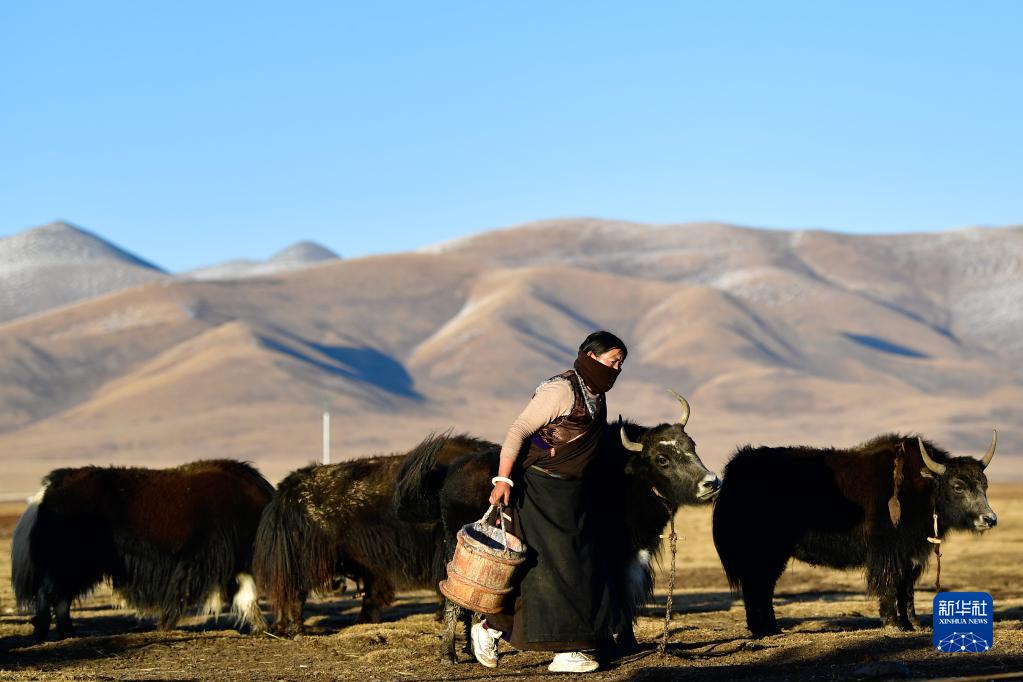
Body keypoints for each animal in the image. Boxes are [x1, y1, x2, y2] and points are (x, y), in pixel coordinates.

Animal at [11, 459, 274, 642]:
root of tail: (50, 488)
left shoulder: (234, 562)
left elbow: (247, 594)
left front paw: (260, 627)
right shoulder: (206, 558)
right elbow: (186, 592)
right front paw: (165, 624)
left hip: (77, 566)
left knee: (62, 594)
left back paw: (67, 631)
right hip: (66, 562)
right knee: (49, 591)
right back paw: (44, 630)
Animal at [393, 392, 721, 664]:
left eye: (692, 445)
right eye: (662, 459)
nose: (711, 483)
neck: (626, 478)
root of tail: (451, 472)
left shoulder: (632, 553)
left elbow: (626, 595)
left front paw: (629, 643)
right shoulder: (609, 555)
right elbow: (616, 597)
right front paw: (614, 645)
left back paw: (473, 651)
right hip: (457, 541)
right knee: (454, 594)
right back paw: (449, 654)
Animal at [712, 431, 998, 638]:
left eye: (984, 485)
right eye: (958, 486)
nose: (990, 519)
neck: (921, 490)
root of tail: (735, 470)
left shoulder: (910, 555)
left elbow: (907, 589)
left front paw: (913, 624)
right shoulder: (889, 551)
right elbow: (890, 585)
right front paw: (893, 624)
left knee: (763, 586)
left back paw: (771, 628)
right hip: (763, 551)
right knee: (757, 586)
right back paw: (764, 630)